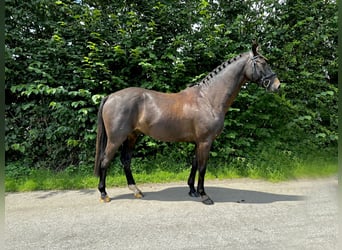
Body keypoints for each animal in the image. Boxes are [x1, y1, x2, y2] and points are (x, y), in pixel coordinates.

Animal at [94, 42, 280, 204]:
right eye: (262, 63)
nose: (277, 85)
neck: (207, 99)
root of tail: (111, 96)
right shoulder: (205, 141)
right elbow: (203, 167)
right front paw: (204, 196)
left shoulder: (198, 142)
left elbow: (195, 163)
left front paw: (192, 190)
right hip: (116, 139)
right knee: (105, 161)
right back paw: (104, 194)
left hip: (132, 136)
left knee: (126, 161)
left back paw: (136, 190)